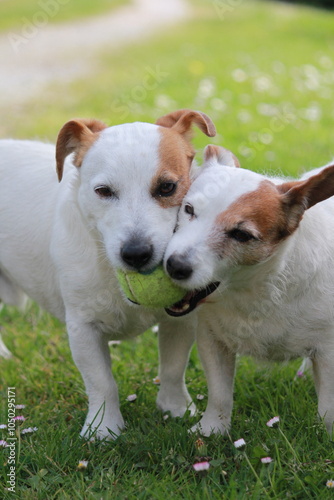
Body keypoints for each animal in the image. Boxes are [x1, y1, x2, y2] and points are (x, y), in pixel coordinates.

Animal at [0, 108, 217, 438]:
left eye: (167, 187)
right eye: (103, 192)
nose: (136, 253)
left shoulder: (180, 320)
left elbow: (172, 368)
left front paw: (176, 409)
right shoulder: (83, 328)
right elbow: (101, 382)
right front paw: (103, 429)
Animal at [164, 145, 334, 438]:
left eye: (242, 235)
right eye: (188, 209)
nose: (175, 265)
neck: (257, 290)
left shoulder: (329, 352)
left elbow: (328, 408)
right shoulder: (212, 339)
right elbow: (219, 393)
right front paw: (212, 430)